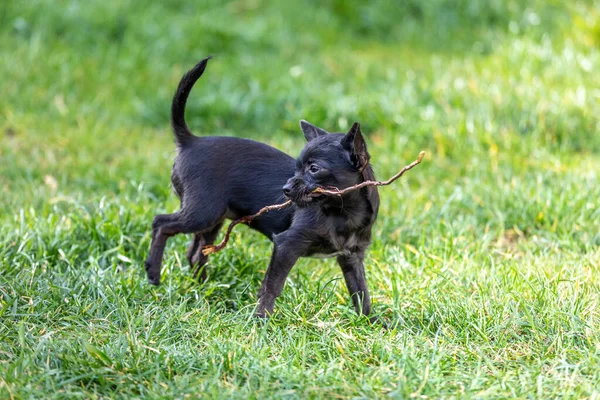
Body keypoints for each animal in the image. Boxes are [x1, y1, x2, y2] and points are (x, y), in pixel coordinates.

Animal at [145, 57, 378, 318]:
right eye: (297, 168)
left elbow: (360, 291)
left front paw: (370, 322)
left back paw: (201, 290)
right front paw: (262, 318)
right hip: (202, 212)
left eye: (314, 169)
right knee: (161, 223)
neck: (342, 212)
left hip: (213, 219)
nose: (285, 188)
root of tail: (190, 141)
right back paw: (154, 272)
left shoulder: (352, 257)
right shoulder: (287, 245)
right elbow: (272, 285)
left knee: (195, 253)